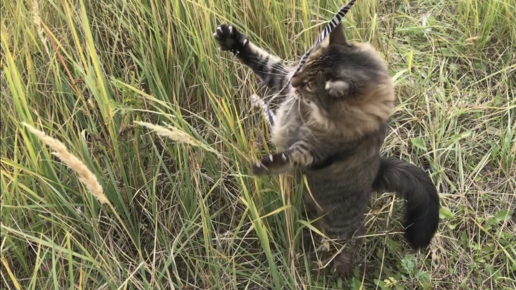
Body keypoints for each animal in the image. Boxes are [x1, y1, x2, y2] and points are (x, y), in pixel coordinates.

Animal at [214, 22, 440, 276]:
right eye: (306, 64)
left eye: (311, 84)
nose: (295, 81)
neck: (312, 113)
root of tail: (376, 172)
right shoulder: (283, 82)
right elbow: (264, 62)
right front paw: (232, 40)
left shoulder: (317, 152)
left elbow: (293, 155)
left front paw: (269, 163)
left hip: (338, 229)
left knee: (344, 250)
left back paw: (328, 270)